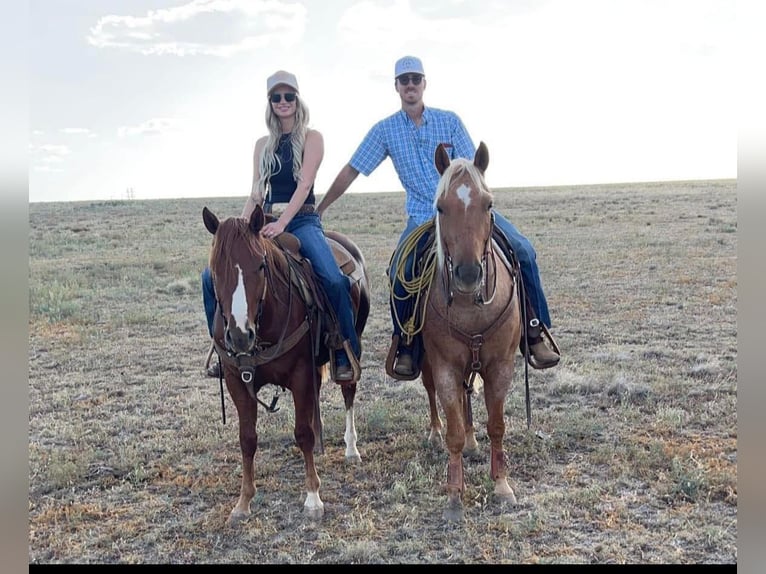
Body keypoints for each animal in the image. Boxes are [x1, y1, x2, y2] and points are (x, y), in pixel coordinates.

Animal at [204, 207, 372, 528]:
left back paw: (351, 448)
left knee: (348, 391)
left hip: (351, 344)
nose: (241, 335)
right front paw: (243, 502)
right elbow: (247, 439)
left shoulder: (300, 374)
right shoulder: (236, 381)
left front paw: (313, 498)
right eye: (215, 269)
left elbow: (302, 432)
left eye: (260, 265)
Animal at [420, 142, 520, 524]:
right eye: (440, 207)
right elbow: (453, 433)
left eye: (488, 203)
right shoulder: (445, 366)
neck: (470, 305)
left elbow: (497, 425)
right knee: (433, 395)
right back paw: (435, 434)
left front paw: (502, 485)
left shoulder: (501, 365)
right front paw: (454, 495)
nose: (467, 274)